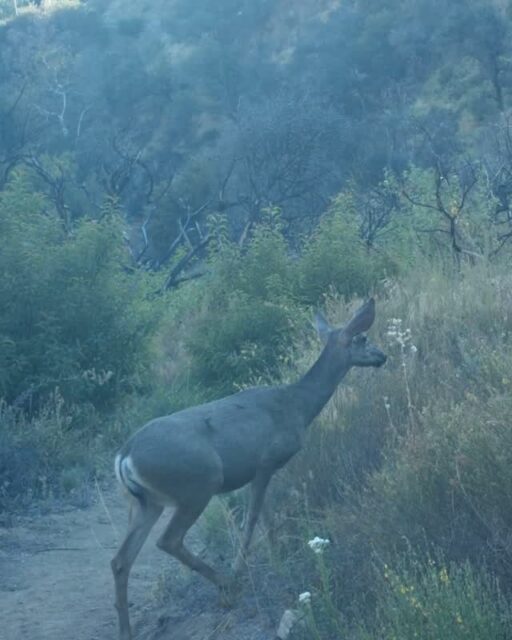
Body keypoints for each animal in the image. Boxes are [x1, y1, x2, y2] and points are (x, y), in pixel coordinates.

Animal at [111, 298, 387, 640]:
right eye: (363, 338)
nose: (383, 355)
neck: (297, 405)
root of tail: (125, 455)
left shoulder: (263, 471)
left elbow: (267, 516)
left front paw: (277, 557)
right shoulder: (265, 461)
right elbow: (252, 518)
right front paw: (246, 567)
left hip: (145, 502)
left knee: (120, 559)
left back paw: (126, 629)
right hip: (197, 484)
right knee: (168, 540)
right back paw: (227, 586)